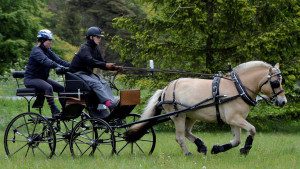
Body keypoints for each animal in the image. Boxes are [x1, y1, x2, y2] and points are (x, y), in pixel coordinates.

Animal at [124, 60, 286, 156]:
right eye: (275, 83)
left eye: (281, 81)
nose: (283, 101)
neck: (237, 88)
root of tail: (166, 89)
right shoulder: (234, 118)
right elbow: (252, 129)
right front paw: (246, 149)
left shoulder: (234, 120)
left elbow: (236, 140)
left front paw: (218, 148)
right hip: (178, 116)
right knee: (179, 136)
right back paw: (188, 153)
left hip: (190, 115)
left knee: (187, 132)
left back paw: (201, 146)